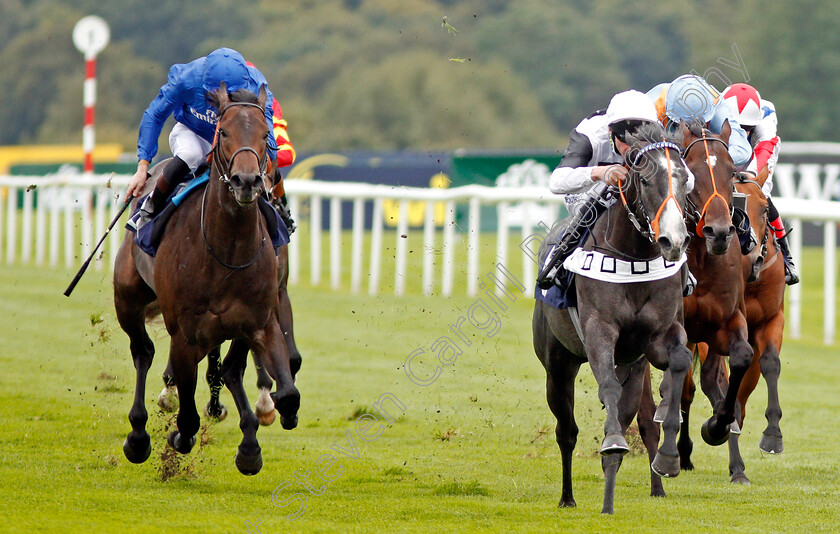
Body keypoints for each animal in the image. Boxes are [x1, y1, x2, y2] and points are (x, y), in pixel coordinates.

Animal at [115, 84, 298, 478]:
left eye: (267, 137)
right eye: (224, 132)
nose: (248, 182)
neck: (227, 249)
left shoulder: (262, 318)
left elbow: (283, 386)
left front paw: (255, 438)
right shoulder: (185, 335)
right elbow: (188, 415)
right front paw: (179, 434)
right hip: (127, 299)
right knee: (143, 352)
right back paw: (138, 434)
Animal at [536, 122, 692, 516]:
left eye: (685, 179)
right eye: (646, 179)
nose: (673, 241)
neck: (632, 256)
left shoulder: (657, 338)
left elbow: (680, 362)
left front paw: (669, 457)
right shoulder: (599, 332)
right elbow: (606, 385)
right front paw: (613, 442)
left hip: (633, 366)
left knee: (631, 414)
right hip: (557, 365)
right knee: (567, 431)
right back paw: (568, 497)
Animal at [676, 169, 788, 486]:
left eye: (765, 210)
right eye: (737, 212)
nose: (750, 259)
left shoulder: (772, 318)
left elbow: (770, 363)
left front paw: (772, 435)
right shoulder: (711, 331)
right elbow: (715, 382)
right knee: (689, 390)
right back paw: (684, 451)